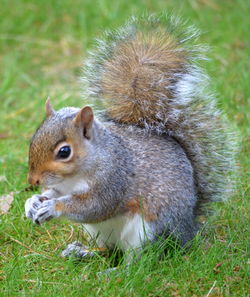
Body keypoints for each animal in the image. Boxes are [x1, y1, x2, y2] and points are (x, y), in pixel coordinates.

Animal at [24, 15, 235, 258]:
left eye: (64, 152)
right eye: (34, 138)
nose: (33, 181)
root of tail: (187, 231)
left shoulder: (114, 179)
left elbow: (95, 206)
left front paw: (53, 207)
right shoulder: (62, 187)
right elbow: (53, 192)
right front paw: (33, 201)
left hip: (148, 229)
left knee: (140, 259)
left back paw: (115, 267)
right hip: (100, 232)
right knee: (108, 249)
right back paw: (82, 252)